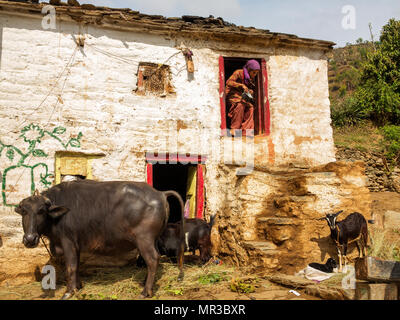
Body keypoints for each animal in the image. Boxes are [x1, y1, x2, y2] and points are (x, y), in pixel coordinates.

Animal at [14, 179, 184, 298]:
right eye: (24, 211)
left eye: (41, 211)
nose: (30, 239)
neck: (58, 216)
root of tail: (160, 193)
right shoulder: (76, 245)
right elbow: (77, 266)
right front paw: (78, 286)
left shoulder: (68, 242)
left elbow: (71, 267)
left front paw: (69, 291)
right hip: (153, 239)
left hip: (144, 240)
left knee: (153, 259)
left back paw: (145, 291)